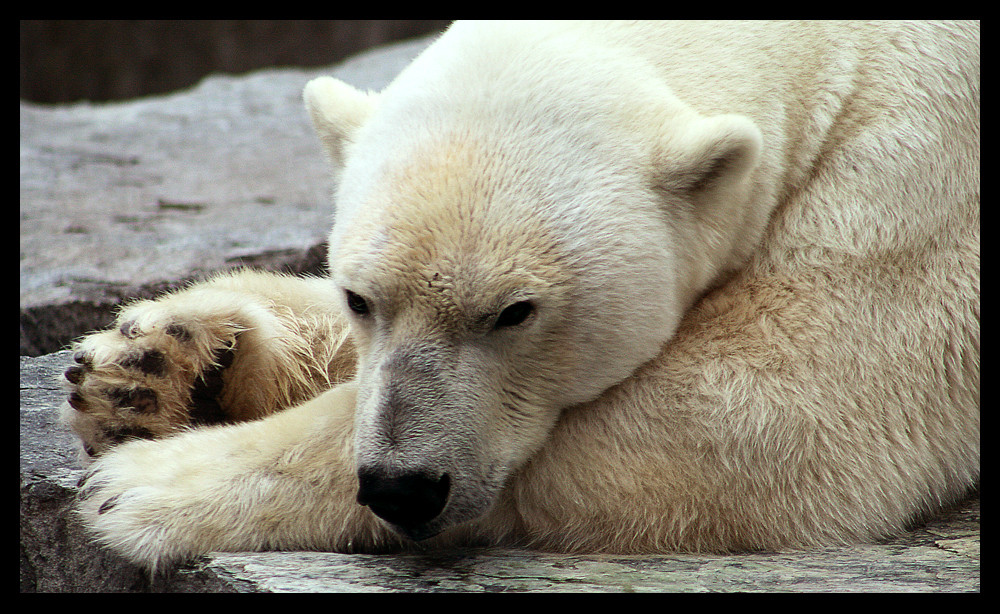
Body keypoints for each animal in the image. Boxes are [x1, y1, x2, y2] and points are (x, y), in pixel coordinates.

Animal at [62, 22, 976, 572]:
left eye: (514, 312)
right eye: (361, 299)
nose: (402, 486)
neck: (828, 43)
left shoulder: (912, 176)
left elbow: (763, 412)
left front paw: (146, 486)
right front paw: (156, 367)